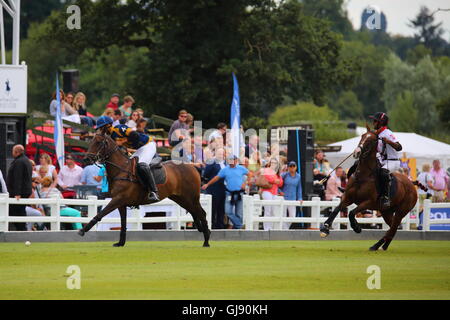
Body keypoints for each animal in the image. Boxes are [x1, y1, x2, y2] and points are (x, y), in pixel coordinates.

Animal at [77, 133, 211, 248]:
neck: (120, 170)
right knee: (195, 212)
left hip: (192, 197)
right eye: (91, 142)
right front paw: (120, 243)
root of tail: (193, 167)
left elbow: (100, 214)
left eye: (98, 143)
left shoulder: (118, 199)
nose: (86, 160)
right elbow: (123, 223)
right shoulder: (121, 203)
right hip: (181, 198)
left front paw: (82, 231)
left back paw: (206, 241)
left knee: (202, 213)